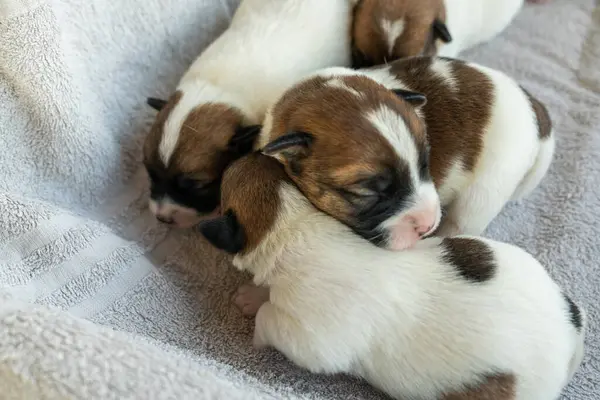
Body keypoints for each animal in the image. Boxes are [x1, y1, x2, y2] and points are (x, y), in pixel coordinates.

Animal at [197, 152, 584, 400]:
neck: (293, 224)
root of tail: (572, 330)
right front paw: (252, 295)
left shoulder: (312, 338)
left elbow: (272, 320)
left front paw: (256, 330)